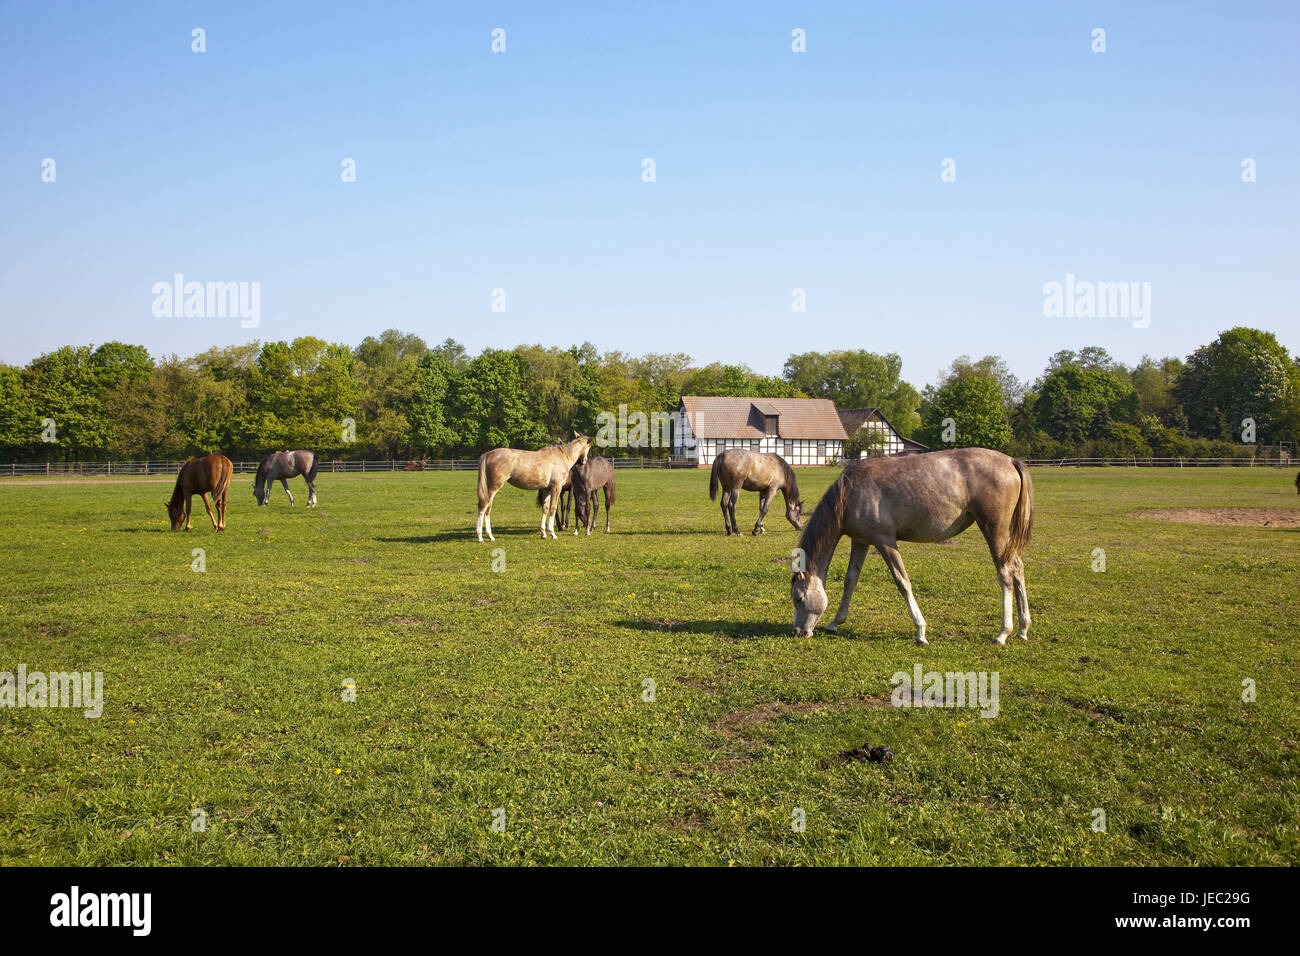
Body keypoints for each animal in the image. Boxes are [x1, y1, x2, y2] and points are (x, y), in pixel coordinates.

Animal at [790, 447, 1033, 646]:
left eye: (798, 598)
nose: (798, 632)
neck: (849, 494)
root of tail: (1010, 461)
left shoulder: (885, 541)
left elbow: (902, 582)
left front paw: (920, 631)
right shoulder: (861, 541)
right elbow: (850, 581)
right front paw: (835, 622)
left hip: (995, 531)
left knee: (1005, 574)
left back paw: (1003, 633)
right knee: (1018, 568)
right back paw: (1023, 628)